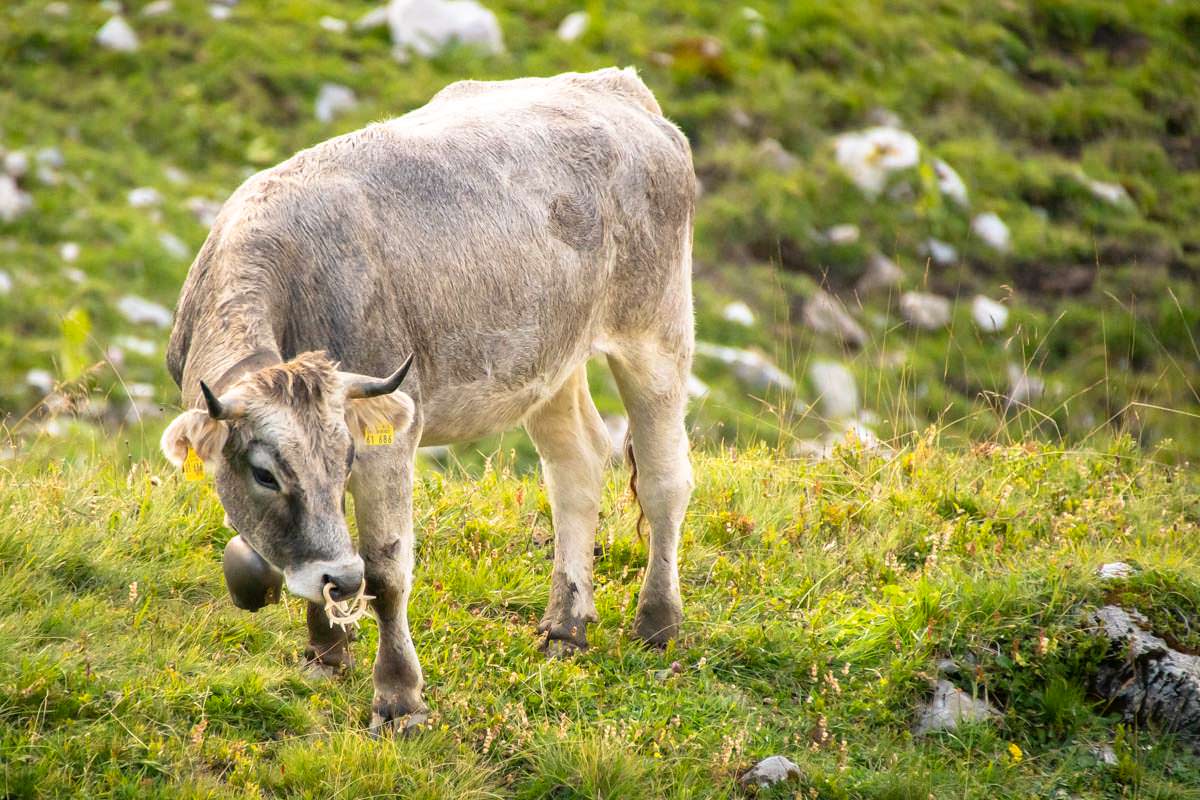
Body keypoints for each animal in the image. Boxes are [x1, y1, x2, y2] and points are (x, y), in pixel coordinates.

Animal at [164, 67, 700, 734]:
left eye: (346, 459)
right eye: (264, 474)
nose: (340, 578)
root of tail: (617, 85)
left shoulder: (391, 439)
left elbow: (386, 571)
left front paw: (399, 699)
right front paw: (324, 651)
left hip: (656, 332)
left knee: (662, 478)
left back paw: (658, 622)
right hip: (549, 358)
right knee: (575, 465)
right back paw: (565, 627)